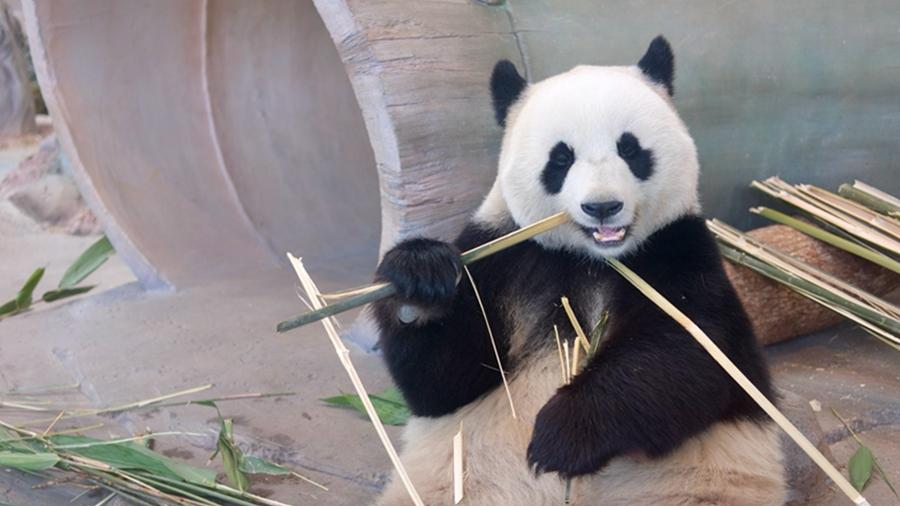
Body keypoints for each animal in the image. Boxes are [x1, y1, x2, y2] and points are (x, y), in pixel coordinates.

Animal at [371, 36, 785, 505]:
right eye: (560, 158)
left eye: (630, 149)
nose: (602, 206)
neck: (589, 258)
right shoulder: (503, 255)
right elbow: (445, 382)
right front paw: (419, 279)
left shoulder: (678, 249)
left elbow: (690, 349)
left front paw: (563, 436)